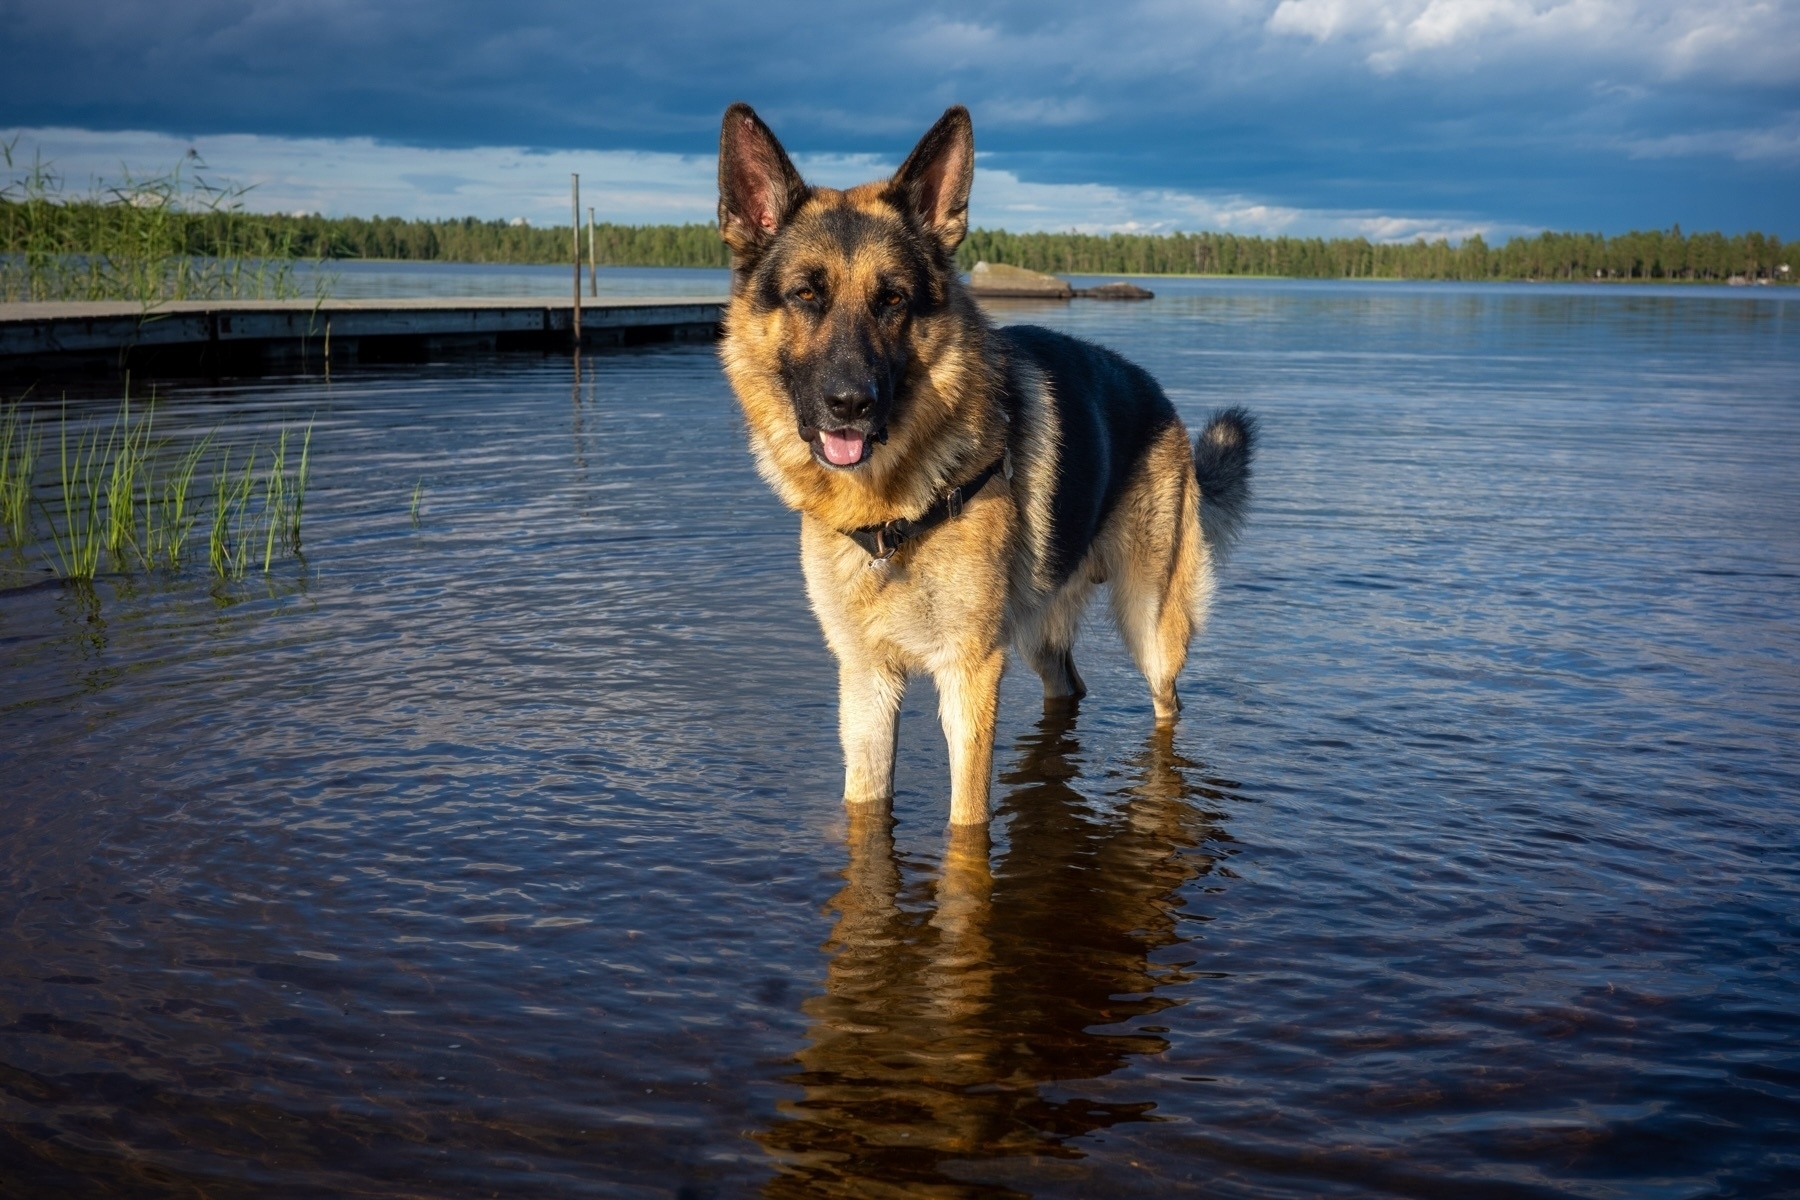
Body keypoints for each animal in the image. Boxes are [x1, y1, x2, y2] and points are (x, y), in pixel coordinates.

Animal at [712, 103, 1252, 827]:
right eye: (805, 295)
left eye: (892, 300)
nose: (850, 404)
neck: (892, 515)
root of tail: (1160, 398)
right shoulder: (865, 685)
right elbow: (864, 805)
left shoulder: (969, 676)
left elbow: (964, 825)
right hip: (1041, 638)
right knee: (1068, 687)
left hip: (1153, 632)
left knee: (1167, 705)